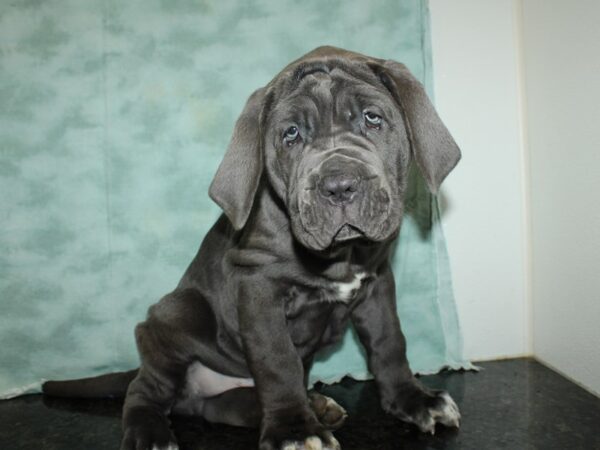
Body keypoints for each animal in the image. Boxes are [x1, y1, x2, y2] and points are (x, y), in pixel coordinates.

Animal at [44, 46, 462, 450]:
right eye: (291, 134)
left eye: (373, 118)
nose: (339, 185)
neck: (339, 258)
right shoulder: (260, 292)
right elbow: (278, 363)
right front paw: (294, 430)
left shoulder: (376, 283)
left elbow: (389, 344)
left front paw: (415, 401)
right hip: (173, 314)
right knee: (145, 389)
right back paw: (151, 434)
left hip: (213, 389)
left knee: (221, 406)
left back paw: (314, 406)